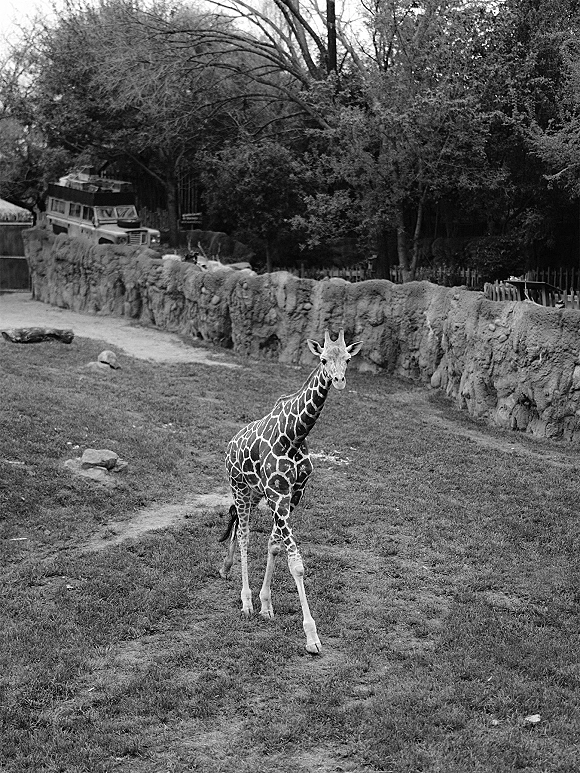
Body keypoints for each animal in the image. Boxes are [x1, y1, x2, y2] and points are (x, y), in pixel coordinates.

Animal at [220, 329, 363, 654]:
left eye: (347, 359)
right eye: (323, 359)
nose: (339, 380)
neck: (295, 435)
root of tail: (231, 444)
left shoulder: (294, 494)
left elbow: (275, 546)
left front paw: (267, 606)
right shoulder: (278, 494)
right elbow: (296, 564)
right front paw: (312, 637)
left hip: (254, 493)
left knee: (236, 522)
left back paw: (227, 568)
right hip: (239, 486)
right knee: (244, 534)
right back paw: (244, 602)